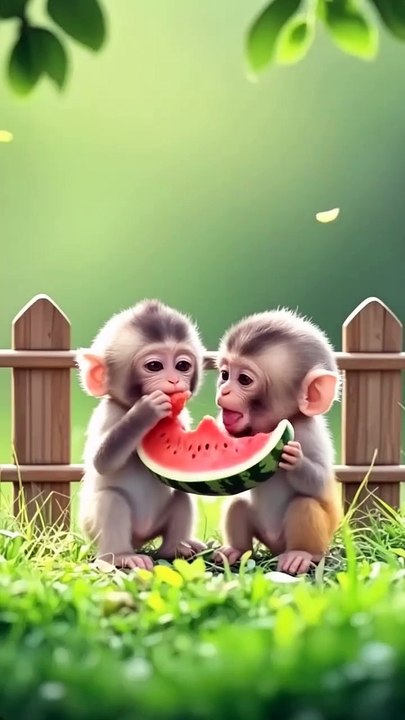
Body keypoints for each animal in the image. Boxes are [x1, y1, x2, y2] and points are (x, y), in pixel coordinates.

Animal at [76, 299, 207, 571]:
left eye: (182, 365)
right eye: (154, 366)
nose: (174, 380)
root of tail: (140, 539)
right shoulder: (108, 414)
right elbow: (102, 460)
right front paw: (146, 411)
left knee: (182, 494)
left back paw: (177, 547)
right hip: (92, 528)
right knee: (111, 501)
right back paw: (120, 557)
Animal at [212, 308, 343, 575]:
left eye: (244, 380)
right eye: (224, 375)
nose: (224, 391)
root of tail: (274, 548)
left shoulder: (310, 434)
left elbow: (320, 479)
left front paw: (295, 459)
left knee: (304, 505)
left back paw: (300, 555)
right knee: (237, 504)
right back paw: (235, 550)